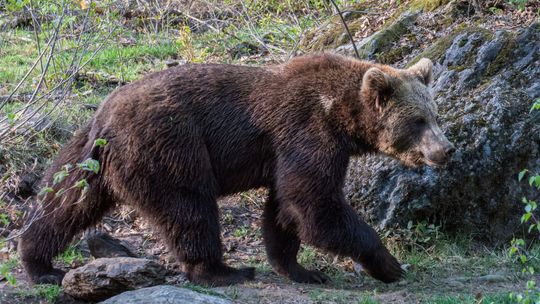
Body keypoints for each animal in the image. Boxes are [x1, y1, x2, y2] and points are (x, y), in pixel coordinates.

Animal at [17, 52, 456, 288]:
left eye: (435, 115)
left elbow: (285, 209)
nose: (446, 150)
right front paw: (389, 263)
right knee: (189, 208)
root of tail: (105, 117)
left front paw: (301, 269)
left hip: (89, 154)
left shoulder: (289, 151)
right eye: (418, 121)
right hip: (171, 147)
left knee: (66, 201)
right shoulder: (306, 130)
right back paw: (223, 270)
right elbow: (314, 204)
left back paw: (40, 263)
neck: (343, 117)